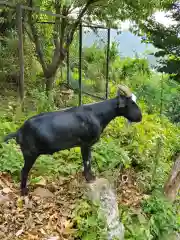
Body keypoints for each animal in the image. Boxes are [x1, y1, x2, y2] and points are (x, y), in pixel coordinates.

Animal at [3, 84, 142, 195]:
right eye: (131, 103)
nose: (140, 117)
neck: (96, 114)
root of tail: (19, 131)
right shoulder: (85, 144)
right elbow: (87, 161)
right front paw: (89, 179)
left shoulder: (86, 145)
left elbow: (88, 160)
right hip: (30, 154)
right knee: (23, 171)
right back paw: (24, 191)